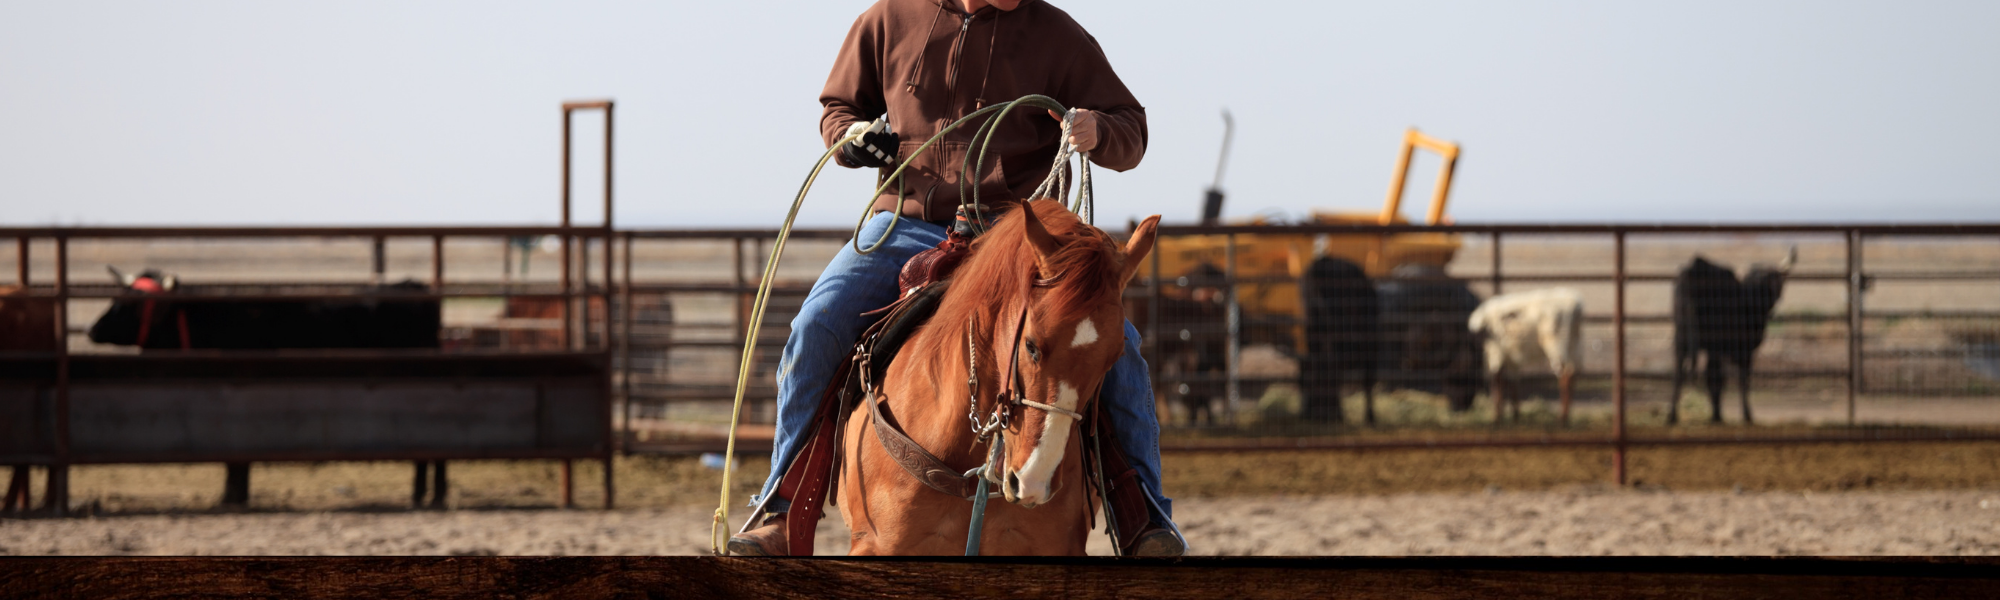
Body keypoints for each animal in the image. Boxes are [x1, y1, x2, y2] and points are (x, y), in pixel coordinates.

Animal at [89, 270, 446, 508]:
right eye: (118, 296)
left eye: (132, 304)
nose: (93, 329)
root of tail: (412, 286)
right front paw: (232, 495)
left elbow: (237, 458)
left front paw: (233, 496)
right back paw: (421, 494)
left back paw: (434, 495)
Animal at [1464, 288, 1584, 424]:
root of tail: (1574, 302)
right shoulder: (1510, 359)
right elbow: (1513, 385)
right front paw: (1515, 416)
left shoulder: (1496, 354)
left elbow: (1497, 384)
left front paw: (1497, 418)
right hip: (1574, 346)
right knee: (1572, 374)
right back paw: (1565, 417)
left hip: (1556, 346)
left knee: (1564, 377)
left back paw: (1562, 419)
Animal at [1672, 248, 1800, 426]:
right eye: (1768, 279)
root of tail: (1695, 266)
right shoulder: (1742, 351)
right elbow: (1741, 380)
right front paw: (1745, 415)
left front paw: (1717, 414)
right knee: (1710, 376)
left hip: (1681, 337)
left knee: (1678, 373)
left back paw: (1672, 416)